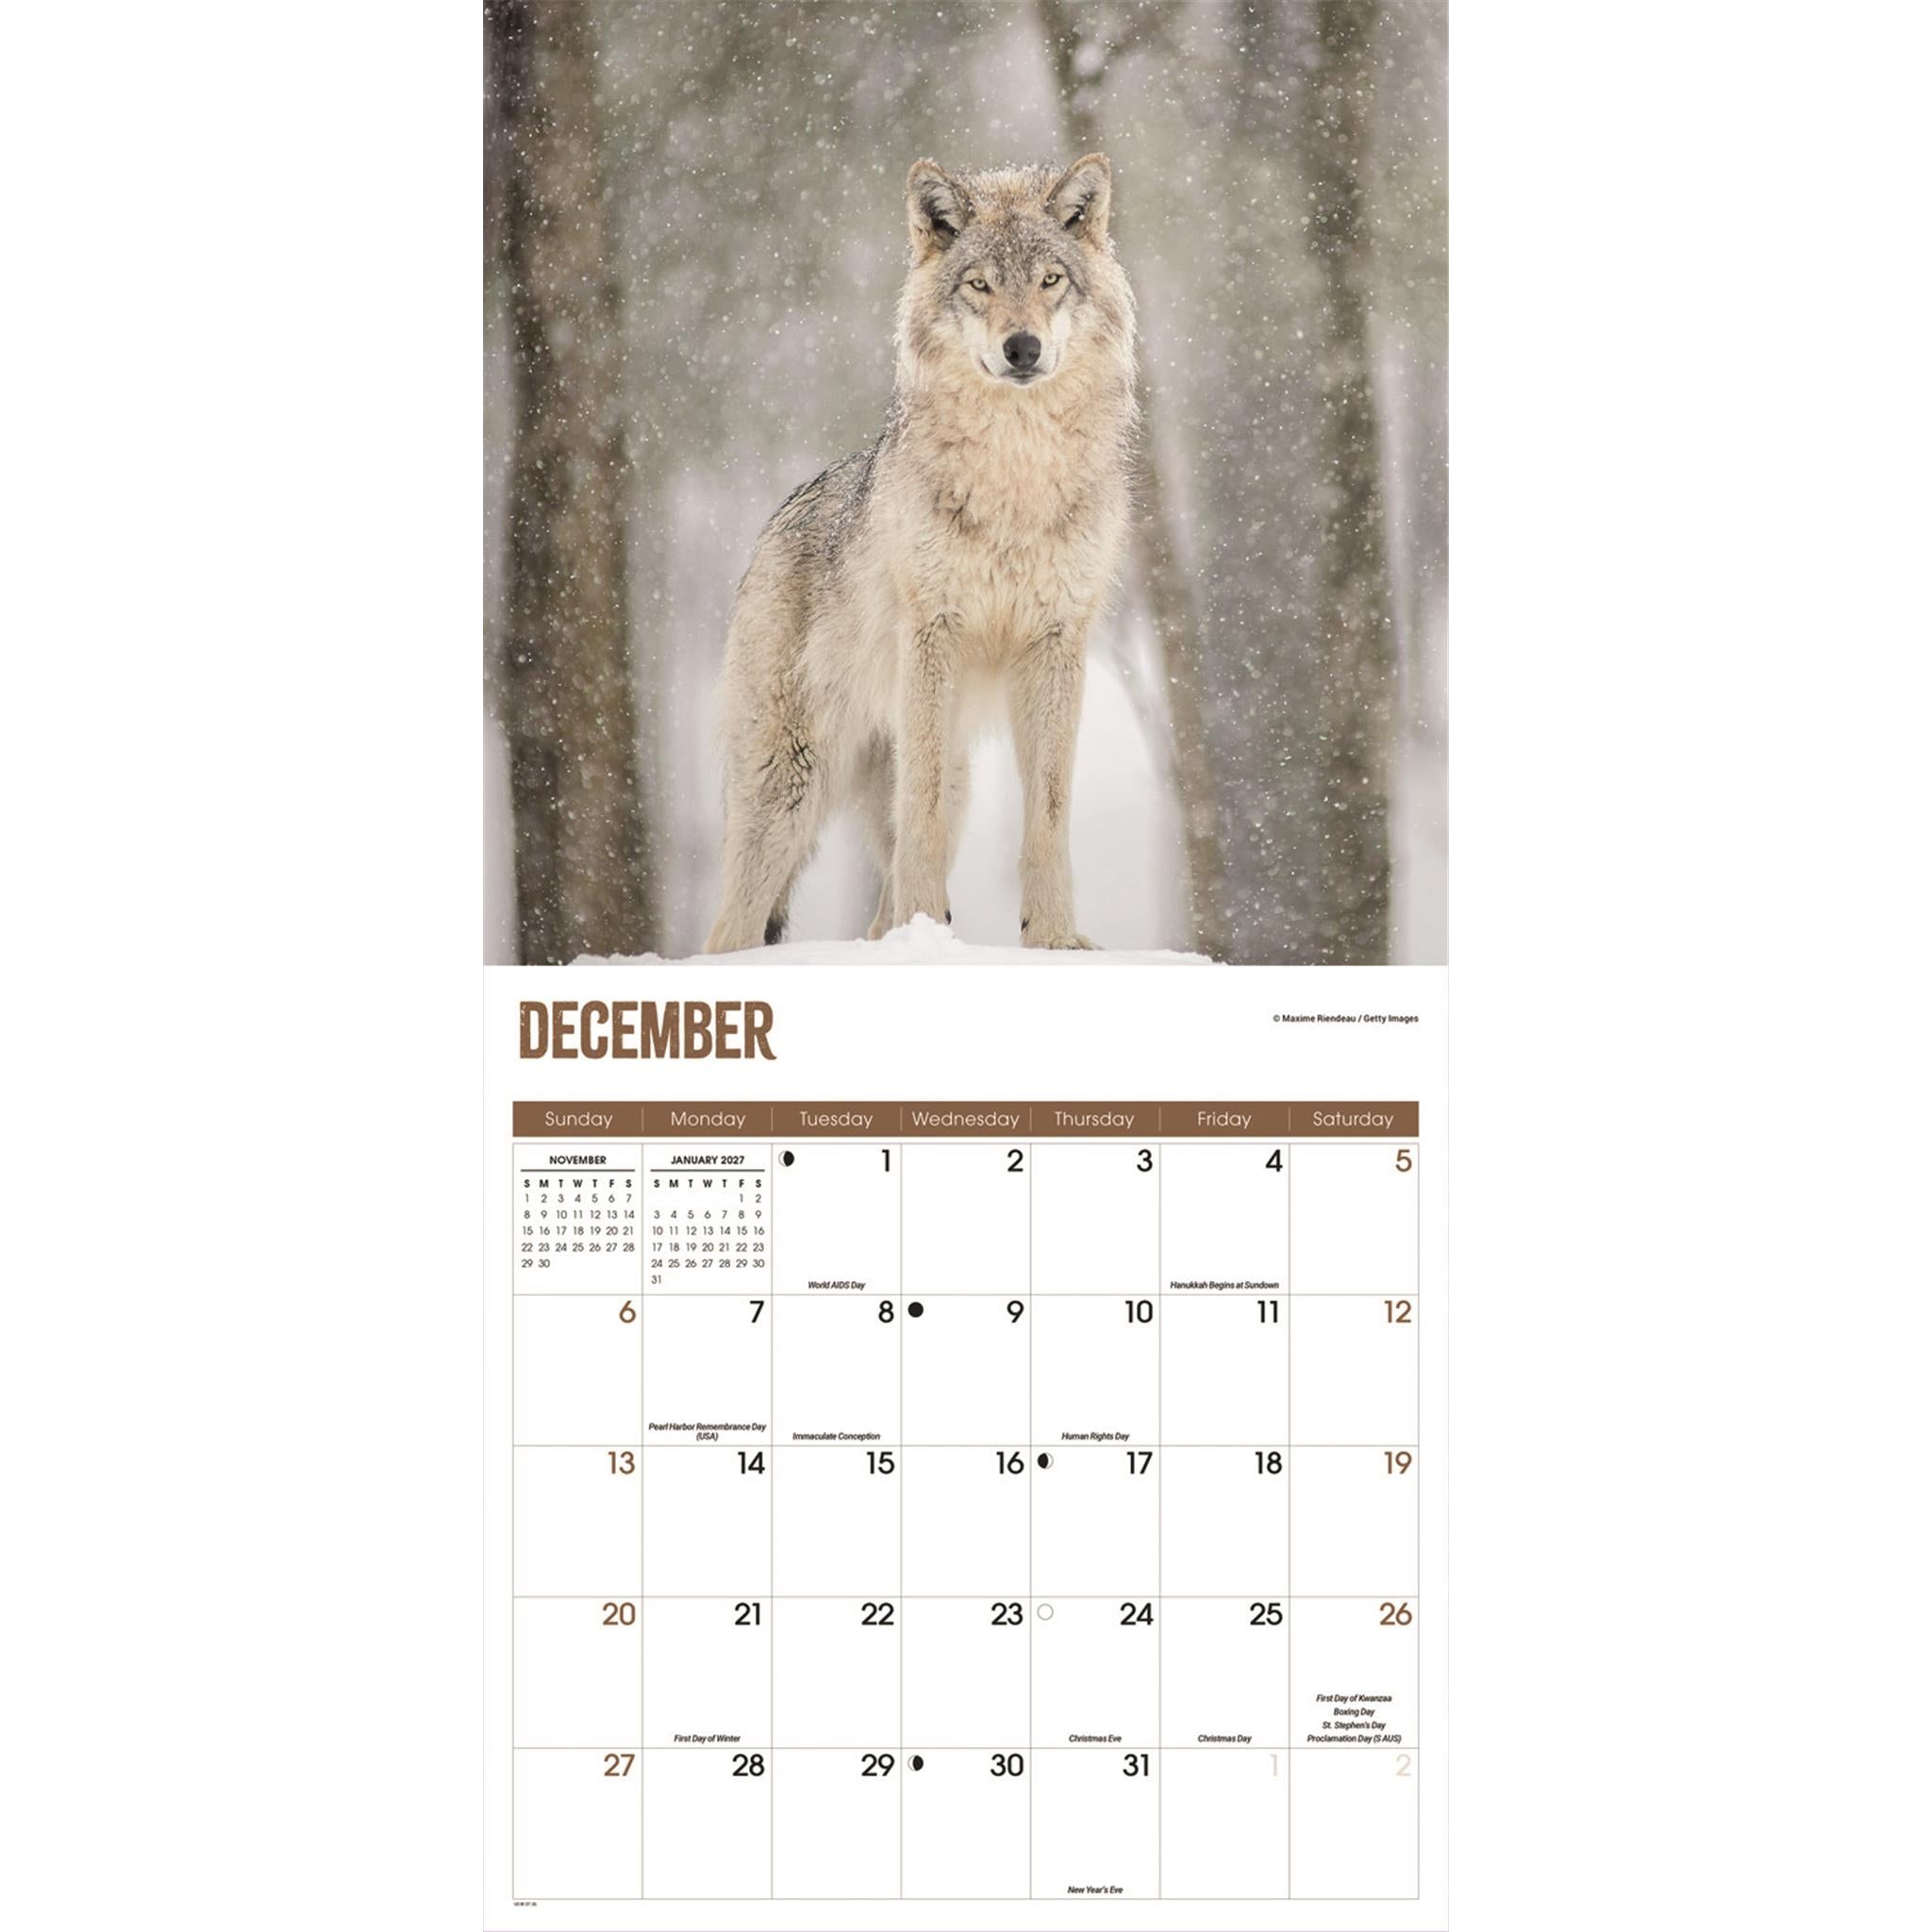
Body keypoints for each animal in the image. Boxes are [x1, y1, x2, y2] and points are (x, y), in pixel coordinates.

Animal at [702, 154, 1136, 953]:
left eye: (1049, 280)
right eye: (980, 285)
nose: (1022, 347)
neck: (1014, 479)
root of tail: (772, 526)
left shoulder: (1059, 644)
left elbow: (1049, 813)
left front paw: (1054, 938)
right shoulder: (934, 633)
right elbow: (922, 814)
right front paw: (929, 926)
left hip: (941, 771)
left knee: (879, 894)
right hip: (790, 785)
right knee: (734, 926)